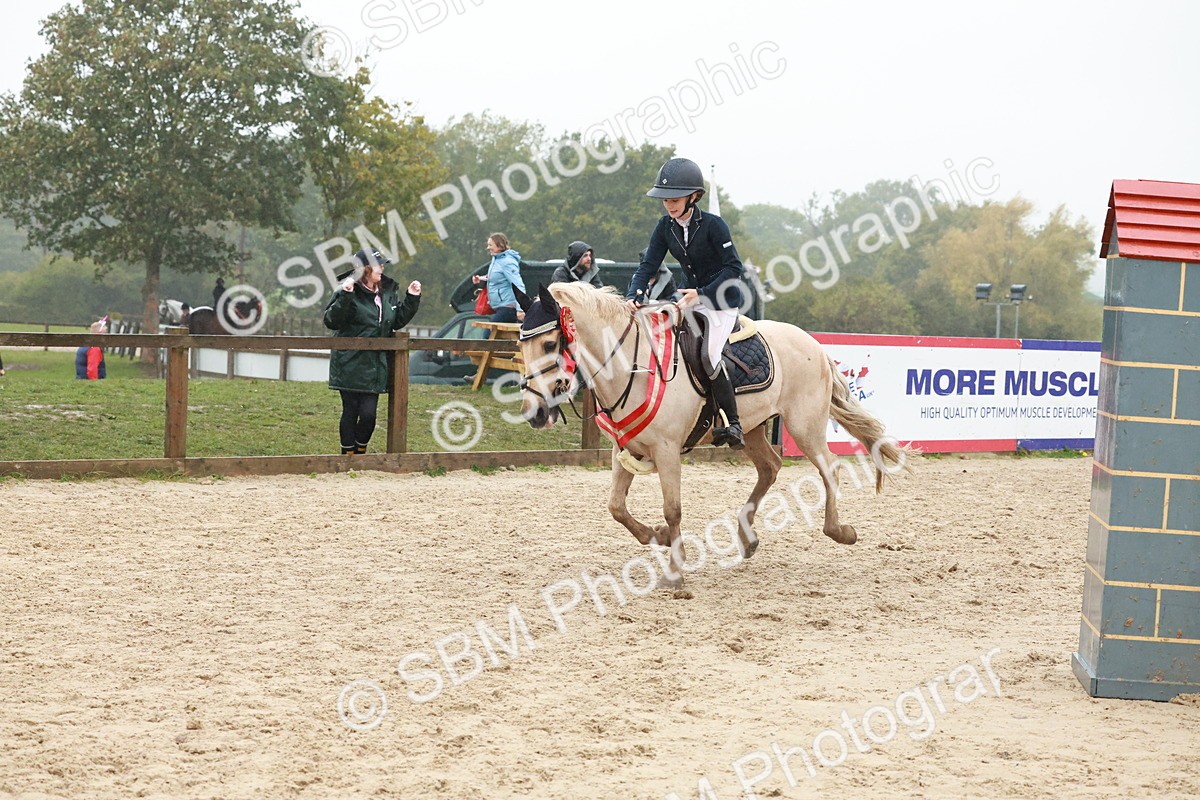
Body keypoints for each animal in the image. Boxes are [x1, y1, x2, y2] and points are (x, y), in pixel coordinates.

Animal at [515, 283, 908, 589]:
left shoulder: (667, 450)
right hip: (753, 428)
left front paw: (674, 572)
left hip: (804, 425)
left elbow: (672, 509)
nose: (534, 413)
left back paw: (839, 530)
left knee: (830, 468)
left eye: (549, 345)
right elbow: (616, 507)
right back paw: (747, 538)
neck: (632, 365)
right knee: (770, 467)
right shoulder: (625, 450)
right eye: (521, 346)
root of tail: (814, 344)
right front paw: (656, 536)